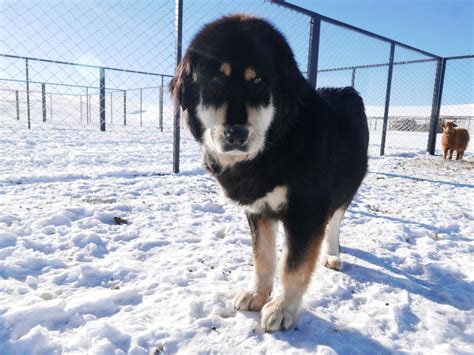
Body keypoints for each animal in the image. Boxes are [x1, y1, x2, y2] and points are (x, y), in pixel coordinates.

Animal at [171, 13, 370, 330]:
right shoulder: (257, 208)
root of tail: (348, 90)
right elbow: (262, 258)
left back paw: (332, 254)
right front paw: (257, 294)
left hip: (346, 188)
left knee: (335, 223)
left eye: (258, 82)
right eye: (216, 80)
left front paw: (282, 308)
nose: (236, 134)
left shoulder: (307, 211)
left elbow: (293, 265)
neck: (274, 149)